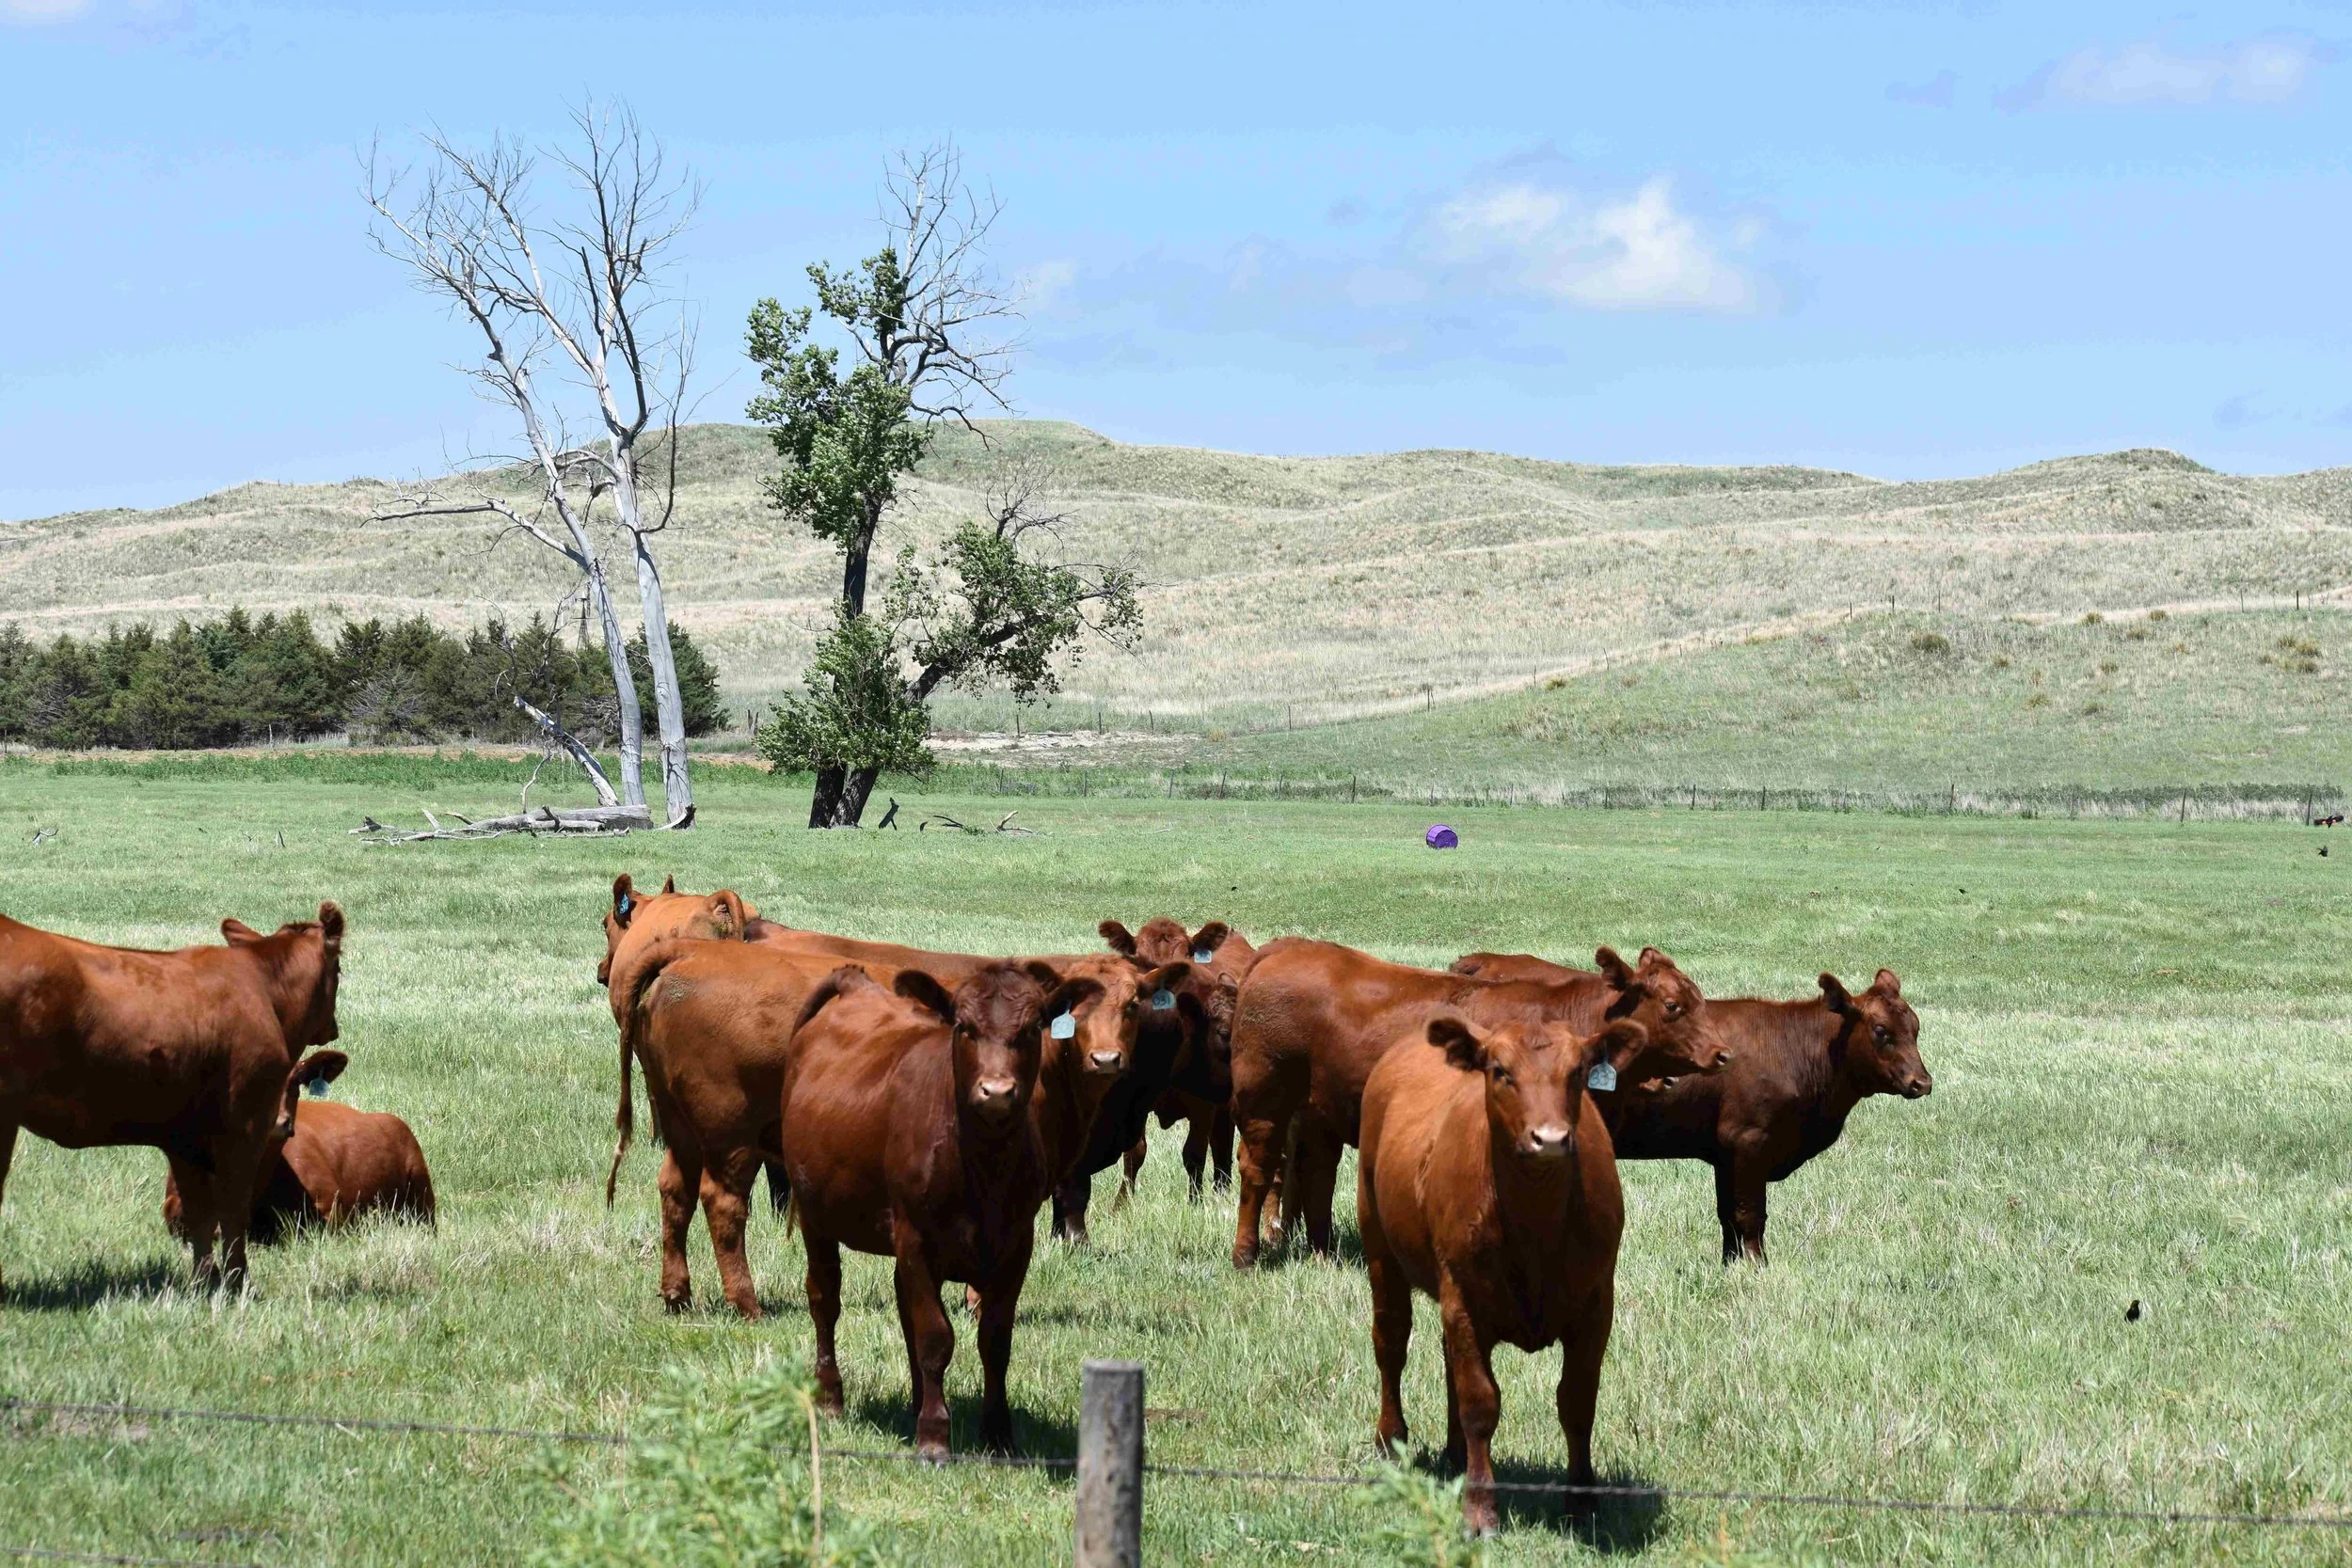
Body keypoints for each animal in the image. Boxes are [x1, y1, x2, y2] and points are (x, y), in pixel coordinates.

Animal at [0, 903, 345, 1292]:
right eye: (338, 967)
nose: (332, 1027)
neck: (263, 993)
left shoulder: (185, 1137)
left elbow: (199, 1214)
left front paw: (204, 1283)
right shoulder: (247, 1124)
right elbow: (233, 1207)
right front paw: (239, 1283)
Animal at [782, 961, 1103, 1455]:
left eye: (1032, 1028)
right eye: (963, 1027)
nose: (997, 1092)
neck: (983, 1169)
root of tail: (856, 987)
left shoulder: (1016, 1244)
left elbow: (994, 1340)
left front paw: (998, 1433)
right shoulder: (916, 1238)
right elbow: (935, 1337)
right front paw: (934, 1435)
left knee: (903, 1309)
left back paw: (915, 1402)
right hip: (817, 1217)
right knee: (825, 1299)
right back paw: (831, 1397)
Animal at [1101, 919, 1255, 1204]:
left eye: (1187, 958)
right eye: (1140, 961)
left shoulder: (1204, 1104)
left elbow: (1194, 1154)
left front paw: (1195, 1202)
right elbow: (1134, 1152)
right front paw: (1122, 1202)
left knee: (1222, 1145)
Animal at [1228, 940, 1730, 1268]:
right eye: (1672, 1005)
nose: (1723, 1053)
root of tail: (1283, 950)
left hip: (1317, 1113)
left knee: (1314, 1176)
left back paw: (1322, 1252)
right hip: (1263, 1100)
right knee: (1258, 1169)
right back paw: (1247, 1254)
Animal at [1358, 1013, 1650, 1535]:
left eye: (1578, 1071)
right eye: (1500, 1071)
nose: (1550, 1138)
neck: (1535, 1226)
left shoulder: (1596, 1304)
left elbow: (1578, 1402)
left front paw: (1583, 1503)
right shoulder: (1465, 1299)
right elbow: (1480, 1402)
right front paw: (1480, 1509)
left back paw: (1455, 1454)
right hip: (1379, 1246)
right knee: (1391, 1342)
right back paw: (1392, 1442)